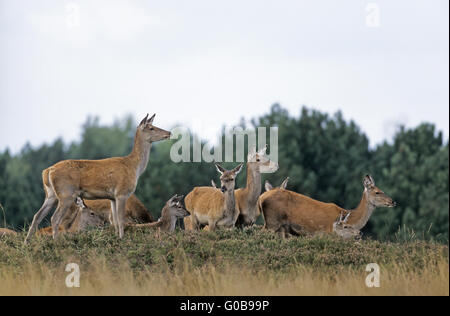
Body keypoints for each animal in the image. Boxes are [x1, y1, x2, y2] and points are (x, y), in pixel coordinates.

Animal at [25, 114, 171, 244]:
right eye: (151, 128)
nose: (169, 132)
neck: (134, 167)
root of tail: (47, 171)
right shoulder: (122, 193)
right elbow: (121, 220)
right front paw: (122, 240)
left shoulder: (112, 197)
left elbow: (115, 221)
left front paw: (117, 239)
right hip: (66, 194)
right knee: (55, 218)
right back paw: (56, 243)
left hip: (51, 195)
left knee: (36, 216)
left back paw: (27, 243)